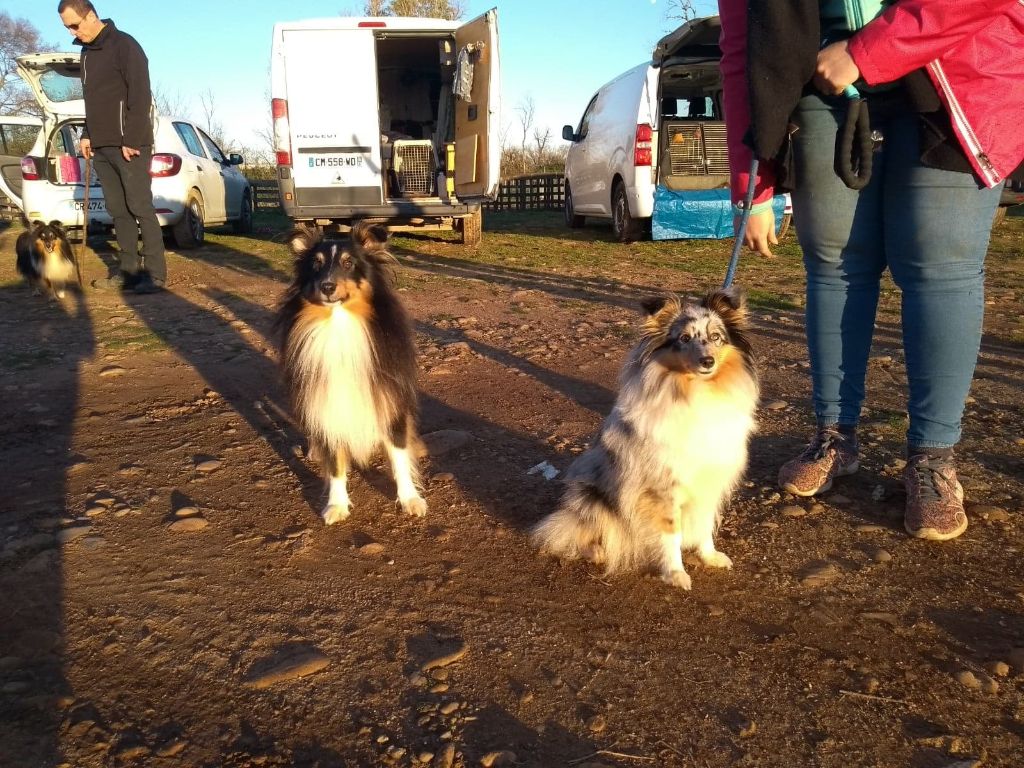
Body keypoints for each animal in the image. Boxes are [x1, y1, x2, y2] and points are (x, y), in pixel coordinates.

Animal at [272, 219, 428, 528]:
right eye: (316, 264)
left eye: (348, 263)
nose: (327, 286)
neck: (339, 324)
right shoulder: (326, 404)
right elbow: (335, 463)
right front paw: (337, 505)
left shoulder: (390, 400)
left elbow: (399, 455)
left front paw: (410, 499)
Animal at [532, 290, 757, 593]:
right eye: (684, 338)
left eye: (716, 337)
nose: (707, 361)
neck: (697, 391)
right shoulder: (662, 487)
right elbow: (671, 533)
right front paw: (675, 573)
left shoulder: (709, 480)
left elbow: (705, 523)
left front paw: (709, 557)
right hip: (591, 496)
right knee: (582, 531)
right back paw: (596, 551)